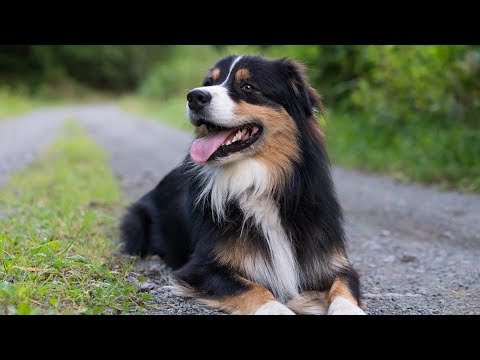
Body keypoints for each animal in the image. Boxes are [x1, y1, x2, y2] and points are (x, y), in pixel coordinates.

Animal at [120, 54, 364, 316]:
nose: (194, 97)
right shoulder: (201, 268)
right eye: (209, 82)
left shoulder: (333, 263)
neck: (258, 184)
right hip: (135, 220)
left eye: (248, 87)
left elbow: (343, 288)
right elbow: (256, 290)